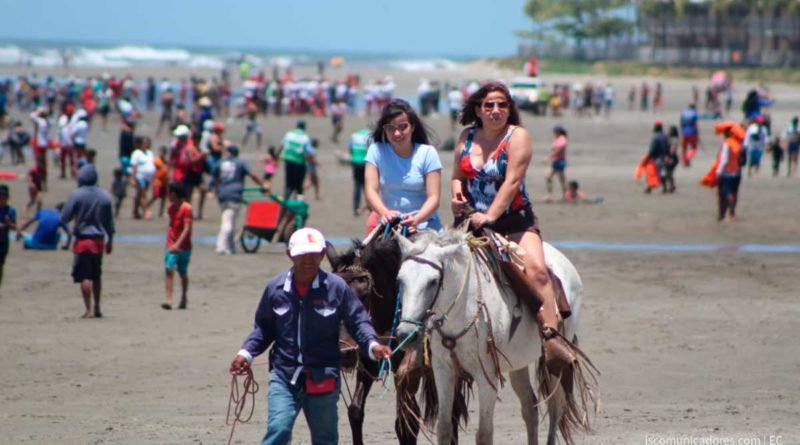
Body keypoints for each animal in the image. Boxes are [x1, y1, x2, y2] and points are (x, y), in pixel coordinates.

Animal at [326, 234, 468, 442]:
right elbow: (355, 411)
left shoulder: (409, 371)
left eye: (364, 294)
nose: (345, 353)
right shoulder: (368, 361)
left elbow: (406, 423)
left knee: (452, 412)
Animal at [396, 231, 596, 442]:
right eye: (400, 279)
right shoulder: (443, 370)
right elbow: (444, 428)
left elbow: (484, 433)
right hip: (518, 363)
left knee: (555, 407)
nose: (405, 334)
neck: (464, 308)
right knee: (530, 408)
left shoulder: (487, 375)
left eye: (433, 281)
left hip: (552, 363)